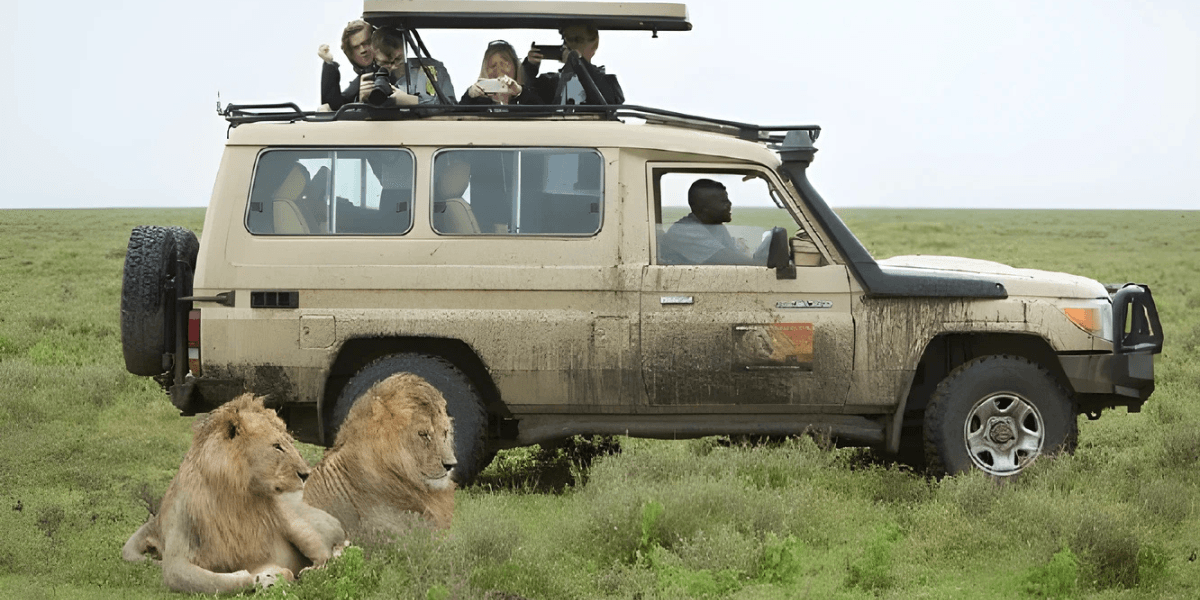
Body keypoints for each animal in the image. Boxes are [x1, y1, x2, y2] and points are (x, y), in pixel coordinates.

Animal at [122, 393, 348, 594]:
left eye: (291, 443)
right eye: (277, 447)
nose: (306, 474)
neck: (235, 497)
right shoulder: (175, 560)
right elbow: (211, 582)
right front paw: (262, 578)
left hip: (299, 524)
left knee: (328, 556)